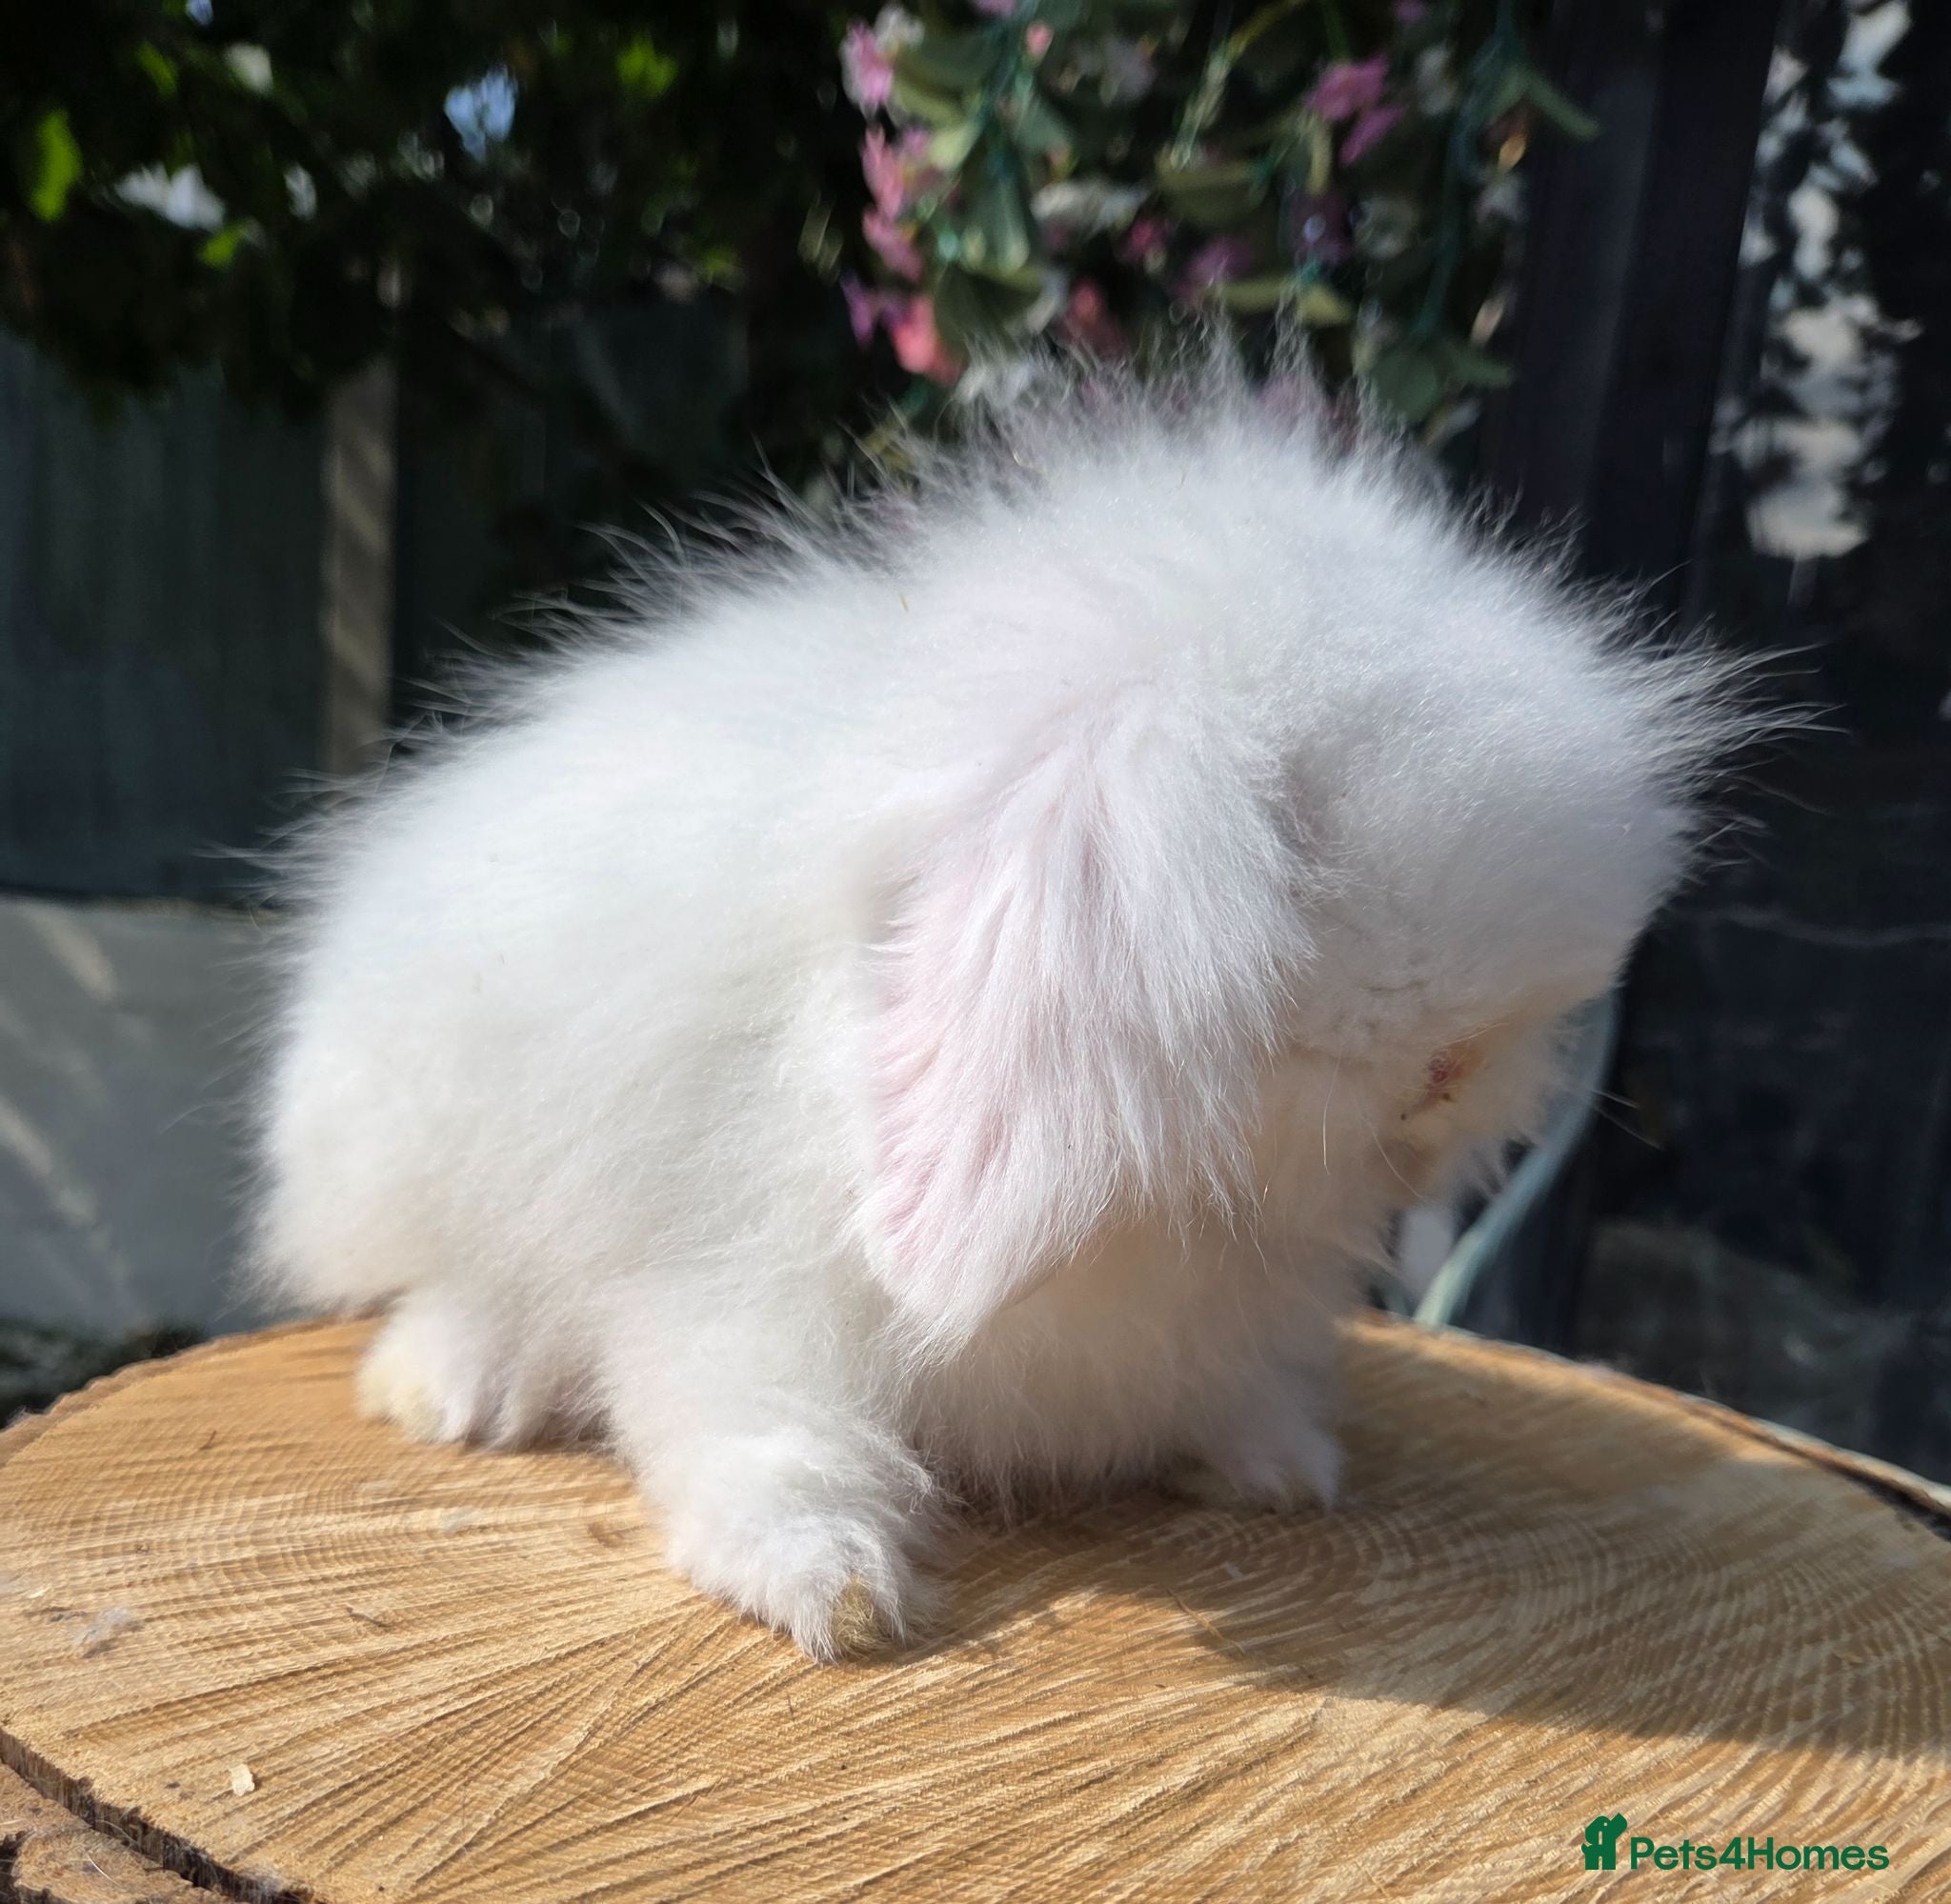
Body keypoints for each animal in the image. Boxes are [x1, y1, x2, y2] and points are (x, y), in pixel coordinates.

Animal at [253, 356, 1758, 1659]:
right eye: (1304, 846)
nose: (1455, 1068)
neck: (1147, 1217)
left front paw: (1280, 1468)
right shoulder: (738, 1290)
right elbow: (758, 1430)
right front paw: (833, 1591)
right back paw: (454, 1389)